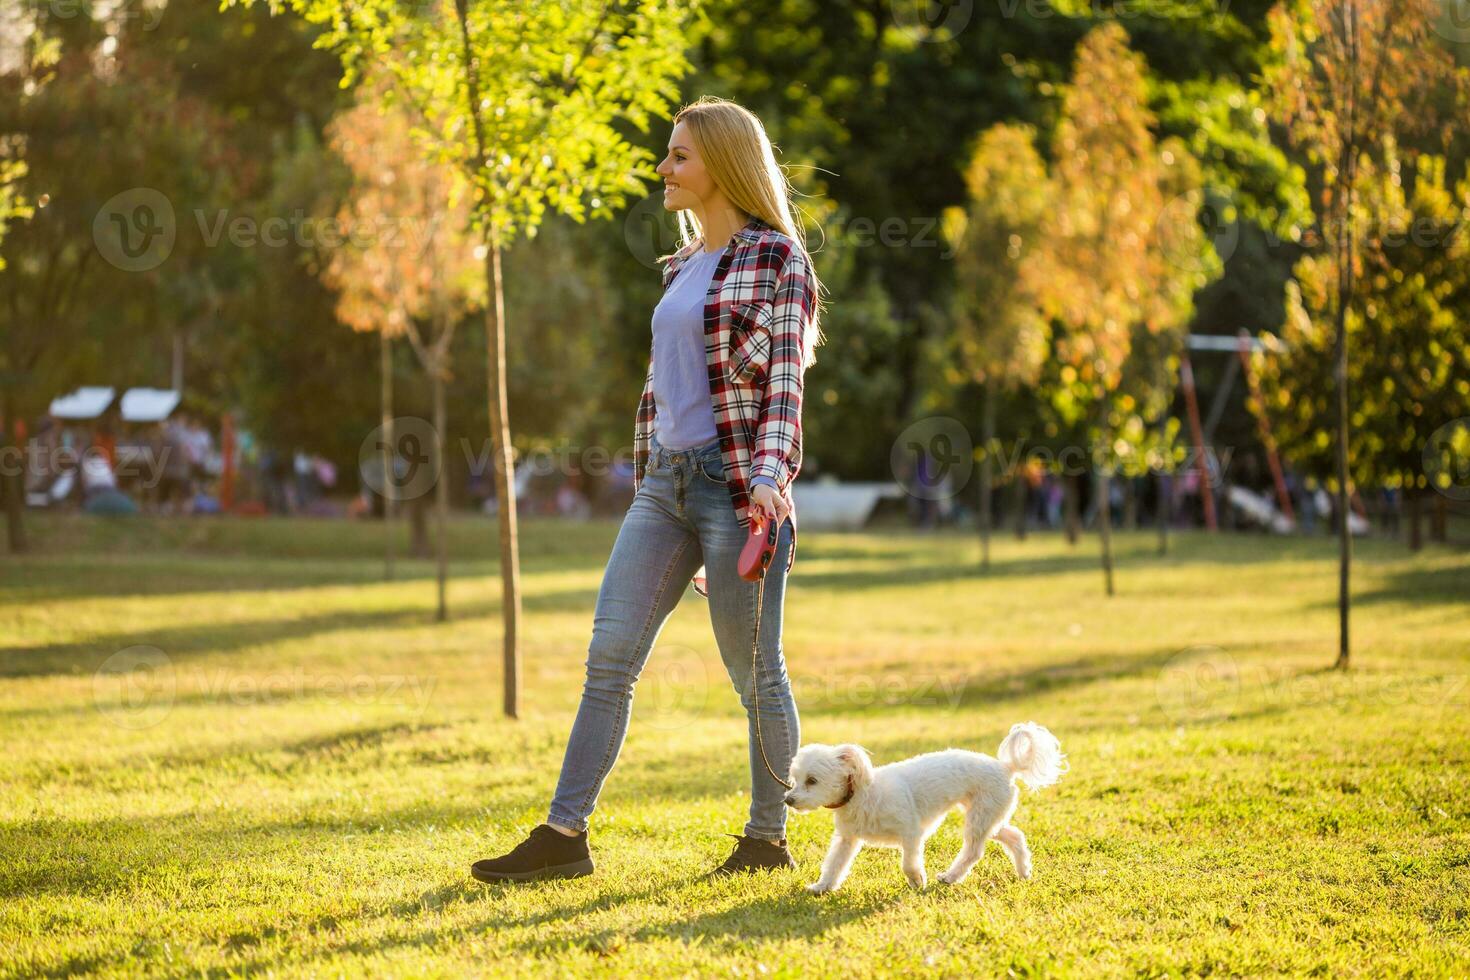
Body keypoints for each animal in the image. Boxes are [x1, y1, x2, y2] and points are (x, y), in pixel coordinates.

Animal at [782, 719, 1070, 899]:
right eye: (795, 779)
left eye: (812, 780)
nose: (788, 800)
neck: (862, 794)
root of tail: (1006, 767)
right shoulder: (847, 839)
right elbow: (834, 865)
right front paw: (822, 887)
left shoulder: (911, 833)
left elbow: (908, 863)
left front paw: (918, 880)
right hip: (989, 816)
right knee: (1014, 836)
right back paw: (1023, 871)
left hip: (980, 817)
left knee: (973, 852)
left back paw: (951, 877)